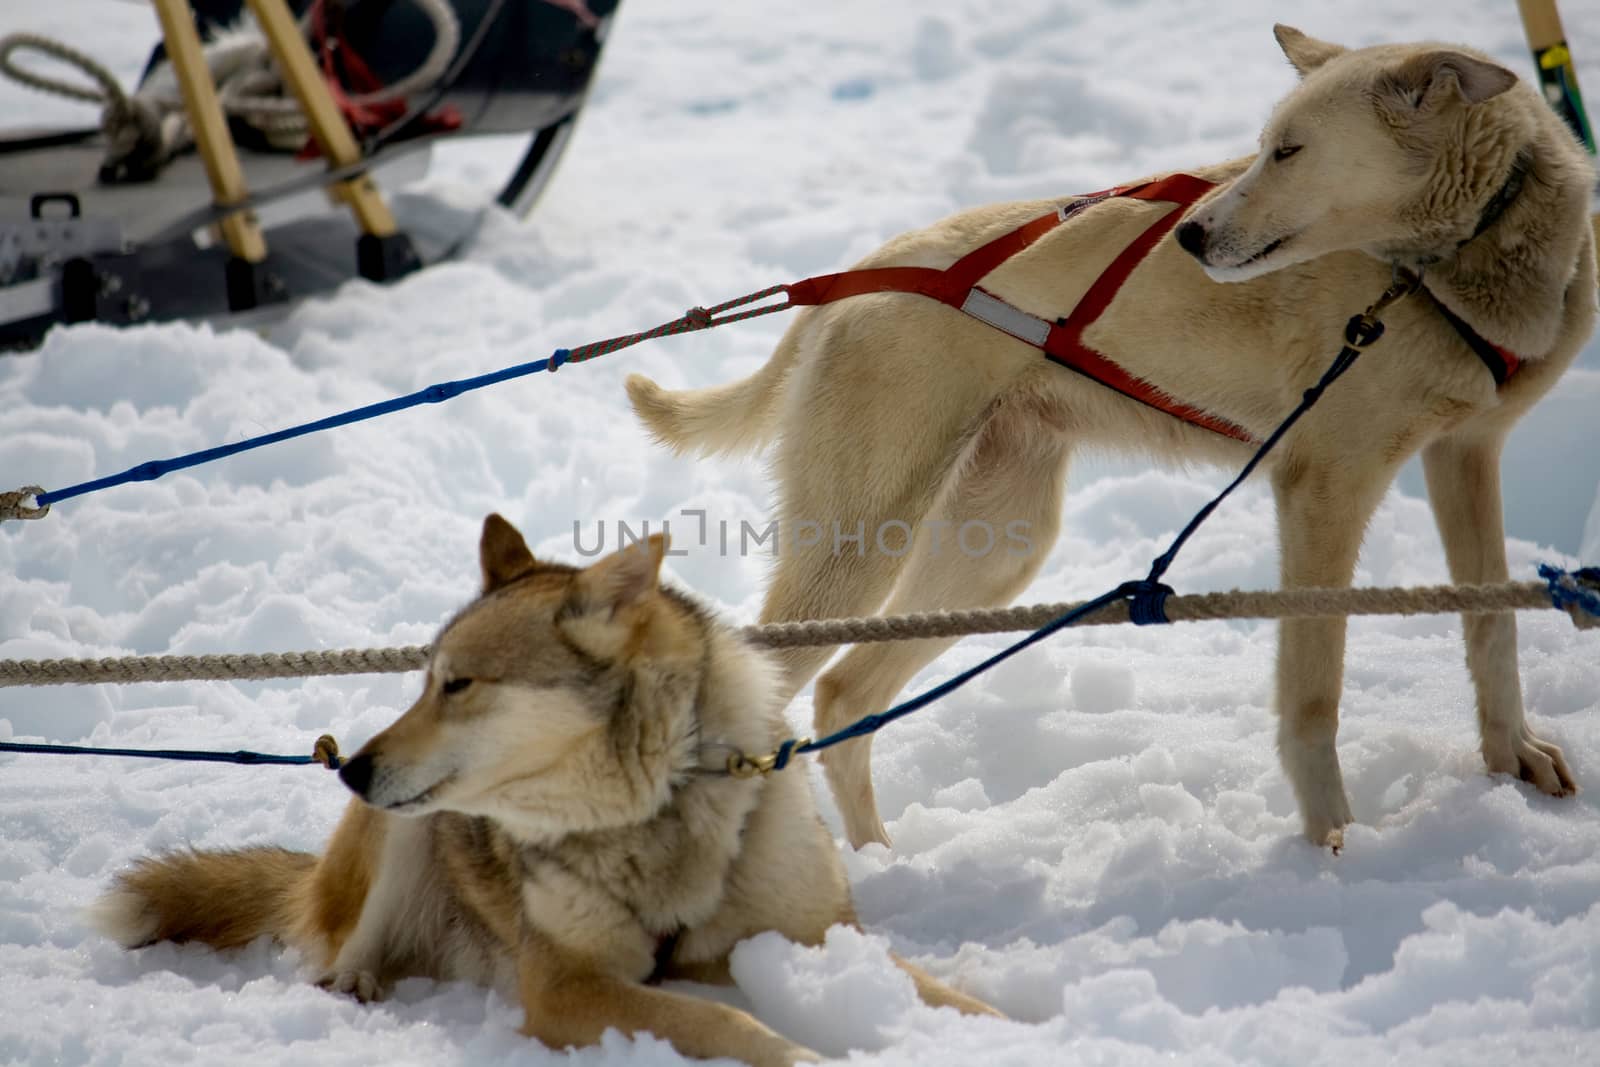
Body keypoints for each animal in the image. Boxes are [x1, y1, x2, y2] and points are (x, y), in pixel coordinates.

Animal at [90, 511, 998, 1062]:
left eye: (457, 684)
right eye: (423, 681)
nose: (350, 766)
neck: (660, 807)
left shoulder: (819, 934)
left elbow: (945, 995)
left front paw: (1008, 1028)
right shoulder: (564, 985)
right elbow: (719, 1015)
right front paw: (802, 1050)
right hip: (405, 836)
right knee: (332, 956)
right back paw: (360, 986)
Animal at [627, 24, 1600, 851]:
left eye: (1288, 150)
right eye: (1263, 143)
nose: (1192, 233)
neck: (1443, 270)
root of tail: (857, 275)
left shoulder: (1465, 455)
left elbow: (1491, 621)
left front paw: (1511, 755)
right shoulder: (1324, 489)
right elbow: (1314, 690)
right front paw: (1334, 842)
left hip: (995, 551)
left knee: (842, 696)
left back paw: (874, 860)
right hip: (862, 542)